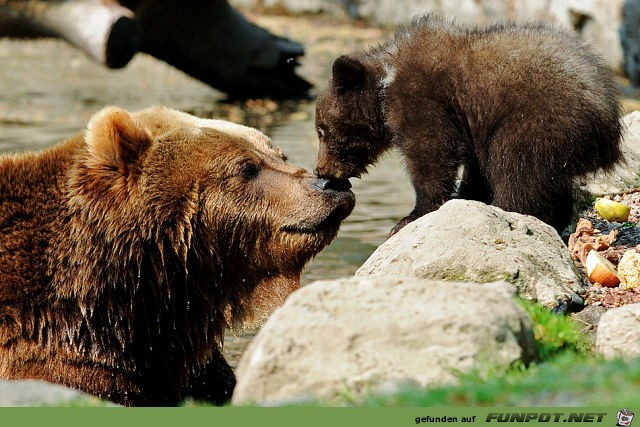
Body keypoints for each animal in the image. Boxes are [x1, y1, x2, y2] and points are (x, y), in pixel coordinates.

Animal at [312, 15, 624, 237]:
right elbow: (473, 168)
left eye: (321, 130)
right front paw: (465, 198)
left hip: (538, 120)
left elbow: (431, 155)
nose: (320, 169)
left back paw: (511, 211)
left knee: (517, 170)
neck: (384, 87)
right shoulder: (471, 124)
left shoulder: (424, 100)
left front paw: (409, 217)